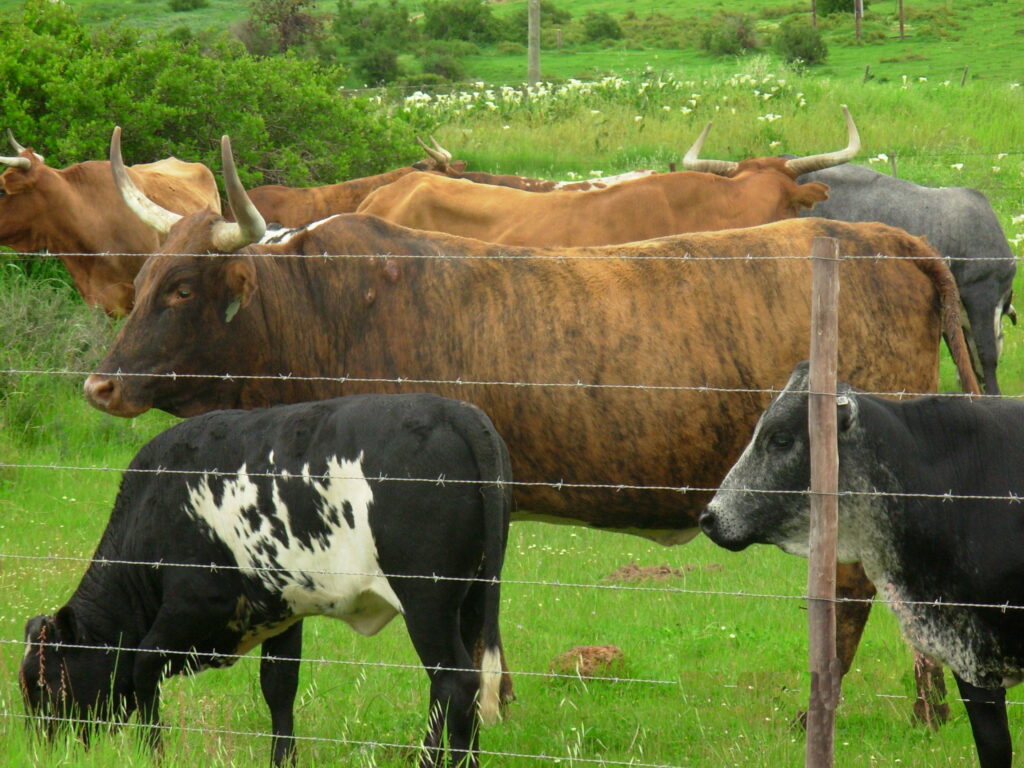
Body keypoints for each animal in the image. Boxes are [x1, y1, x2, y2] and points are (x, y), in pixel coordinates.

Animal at [20, 393, 512, 767]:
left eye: (44, 685)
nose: (41, 750)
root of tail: (456, 411)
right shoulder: (282, 610)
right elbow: (278, 687)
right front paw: (282, 760)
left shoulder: (192, 606)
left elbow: (143, 665)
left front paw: (153, 753)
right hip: (472, 598)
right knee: (465, 681)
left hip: (427, 599)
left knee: (454, 681)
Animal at [85, 130, 979, 718]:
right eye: (146, 276)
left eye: (182, 289)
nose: (100, 382)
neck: (332, 307)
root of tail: (882, 237)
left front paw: (485, 704)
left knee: (858, 592)